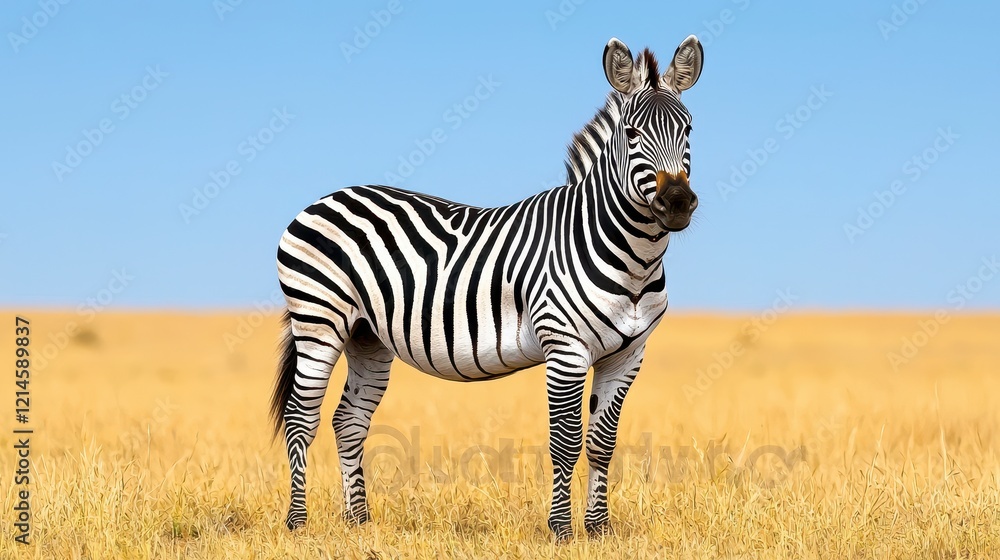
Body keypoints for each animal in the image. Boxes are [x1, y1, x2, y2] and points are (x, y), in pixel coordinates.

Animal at [270, 35, 704, 541]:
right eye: (632, 134)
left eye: (689, 130)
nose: (677, 203)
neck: (633, 257)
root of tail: (326, 197)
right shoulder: (565, 347)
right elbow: (565, 441)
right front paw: (561, 531)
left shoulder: (629, 354)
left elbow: (602, 442)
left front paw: (599, 530)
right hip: (319, 319)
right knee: (301, 418)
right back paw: (297, 523)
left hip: (366, 335)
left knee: (349, 421)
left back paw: (359, 522)